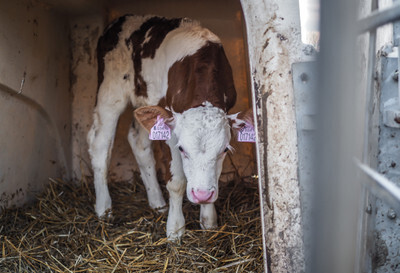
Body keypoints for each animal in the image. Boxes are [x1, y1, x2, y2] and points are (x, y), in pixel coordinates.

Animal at [87, 14, 253, 239]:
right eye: (182, 149)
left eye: (224, 150)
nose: (201, 195)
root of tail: (123, 19)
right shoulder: (170, 129)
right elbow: (176, 182)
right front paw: (175, 229)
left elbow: (212, 177)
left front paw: (209, 221)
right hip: (111, 90)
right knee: (100, 144)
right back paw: (104, 208)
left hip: (146, 101)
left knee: (137, 141)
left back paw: (157, 203)